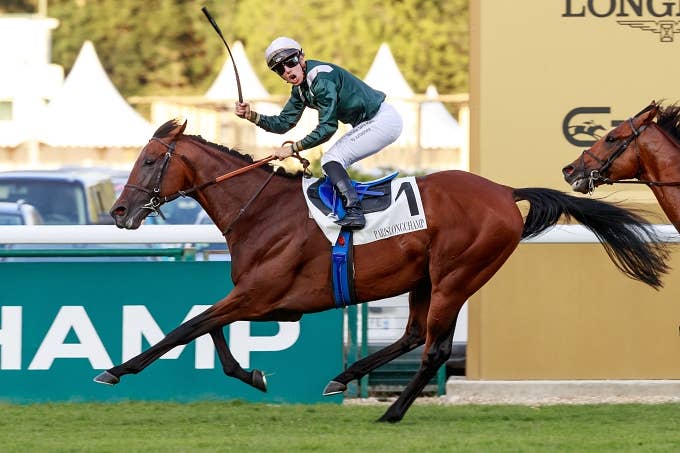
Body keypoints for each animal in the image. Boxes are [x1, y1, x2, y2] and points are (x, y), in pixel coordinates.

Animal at [96, 119, 669, 423]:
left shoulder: (263, 295)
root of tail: (505, 192)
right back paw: (345, 377)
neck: (261, 210)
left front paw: (116, 369)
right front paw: (252, 374)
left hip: (457, 276)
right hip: (424, 280)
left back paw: (390, 411)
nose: (119, 212)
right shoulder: (258, 298)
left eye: (150, 161)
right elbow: (209, 329)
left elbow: (187, 327)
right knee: (413, 335)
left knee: (434, 347)